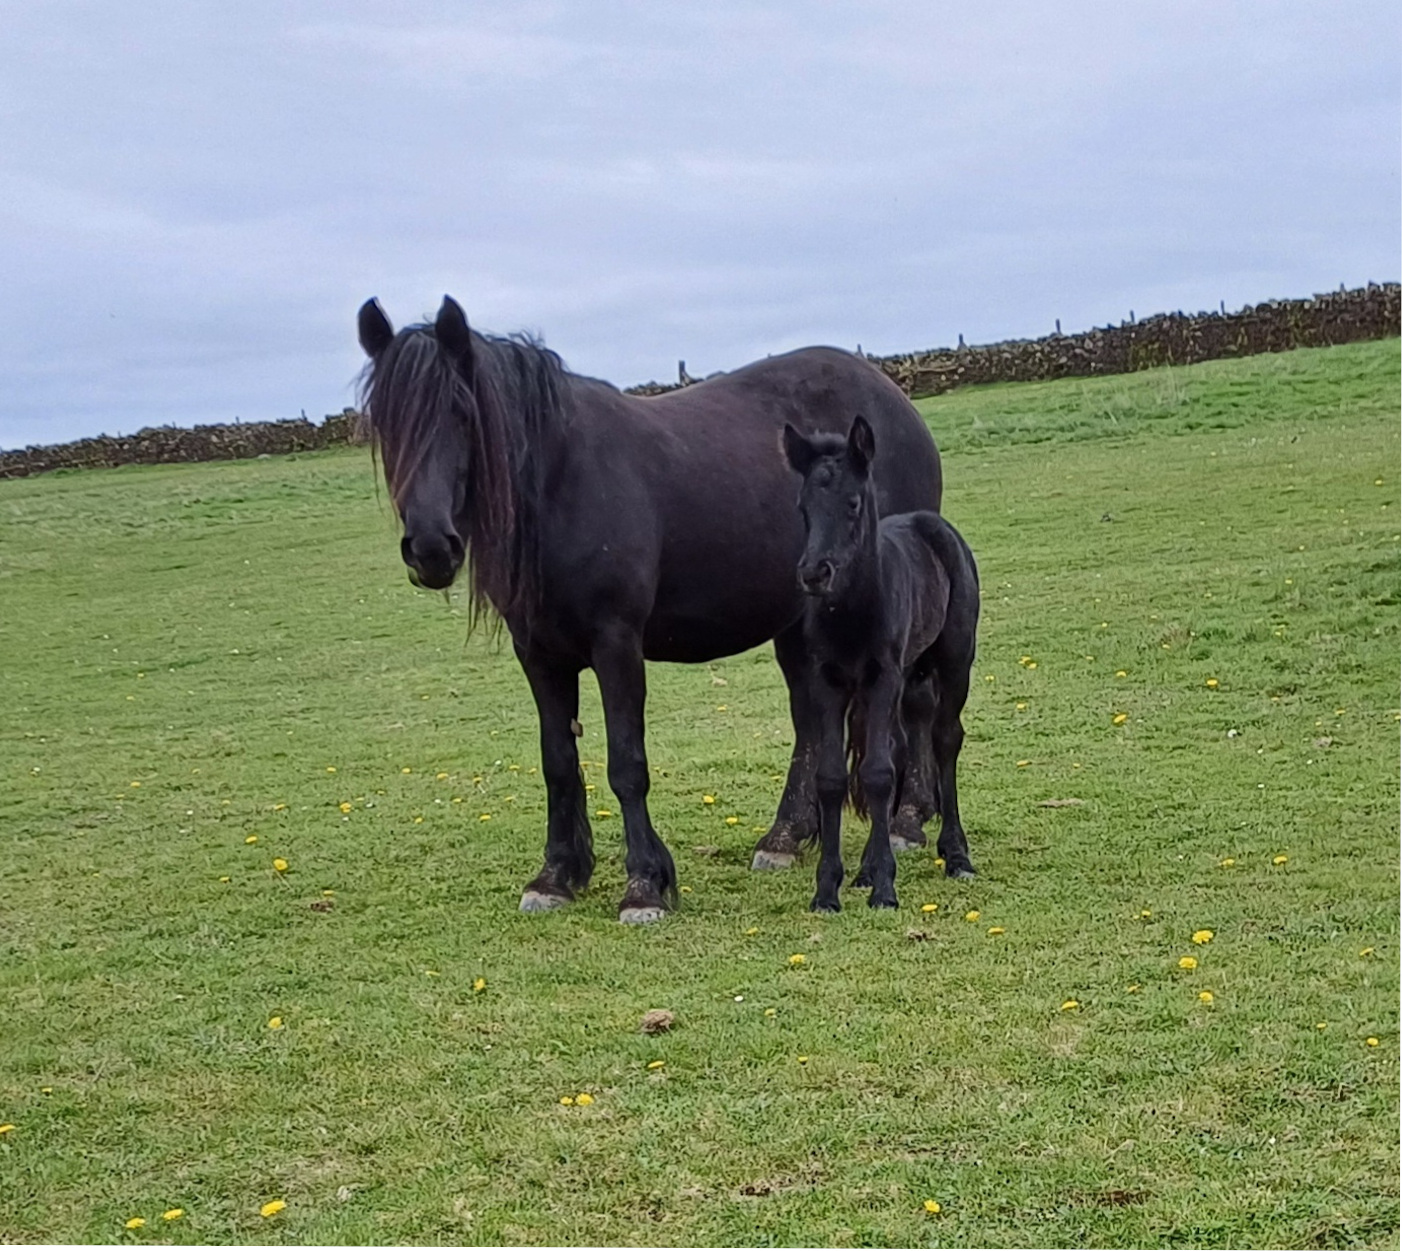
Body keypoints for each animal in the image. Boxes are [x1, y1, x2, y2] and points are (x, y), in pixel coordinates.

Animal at [785, 415, 981, 914]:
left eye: (853, 503)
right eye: (803, 506)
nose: (814, 573)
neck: (853, 611)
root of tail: (933, 523)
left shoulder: (883, 676)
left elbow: (876, 773)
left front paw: (886, 890)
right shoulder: (828, 682)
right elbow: (834, 777)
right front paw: (828, 890)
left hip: (955, 659)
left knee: (945, 738)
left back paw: (956, 855)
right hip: (907, 677)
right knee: (899, 745)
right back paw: (865, 870)